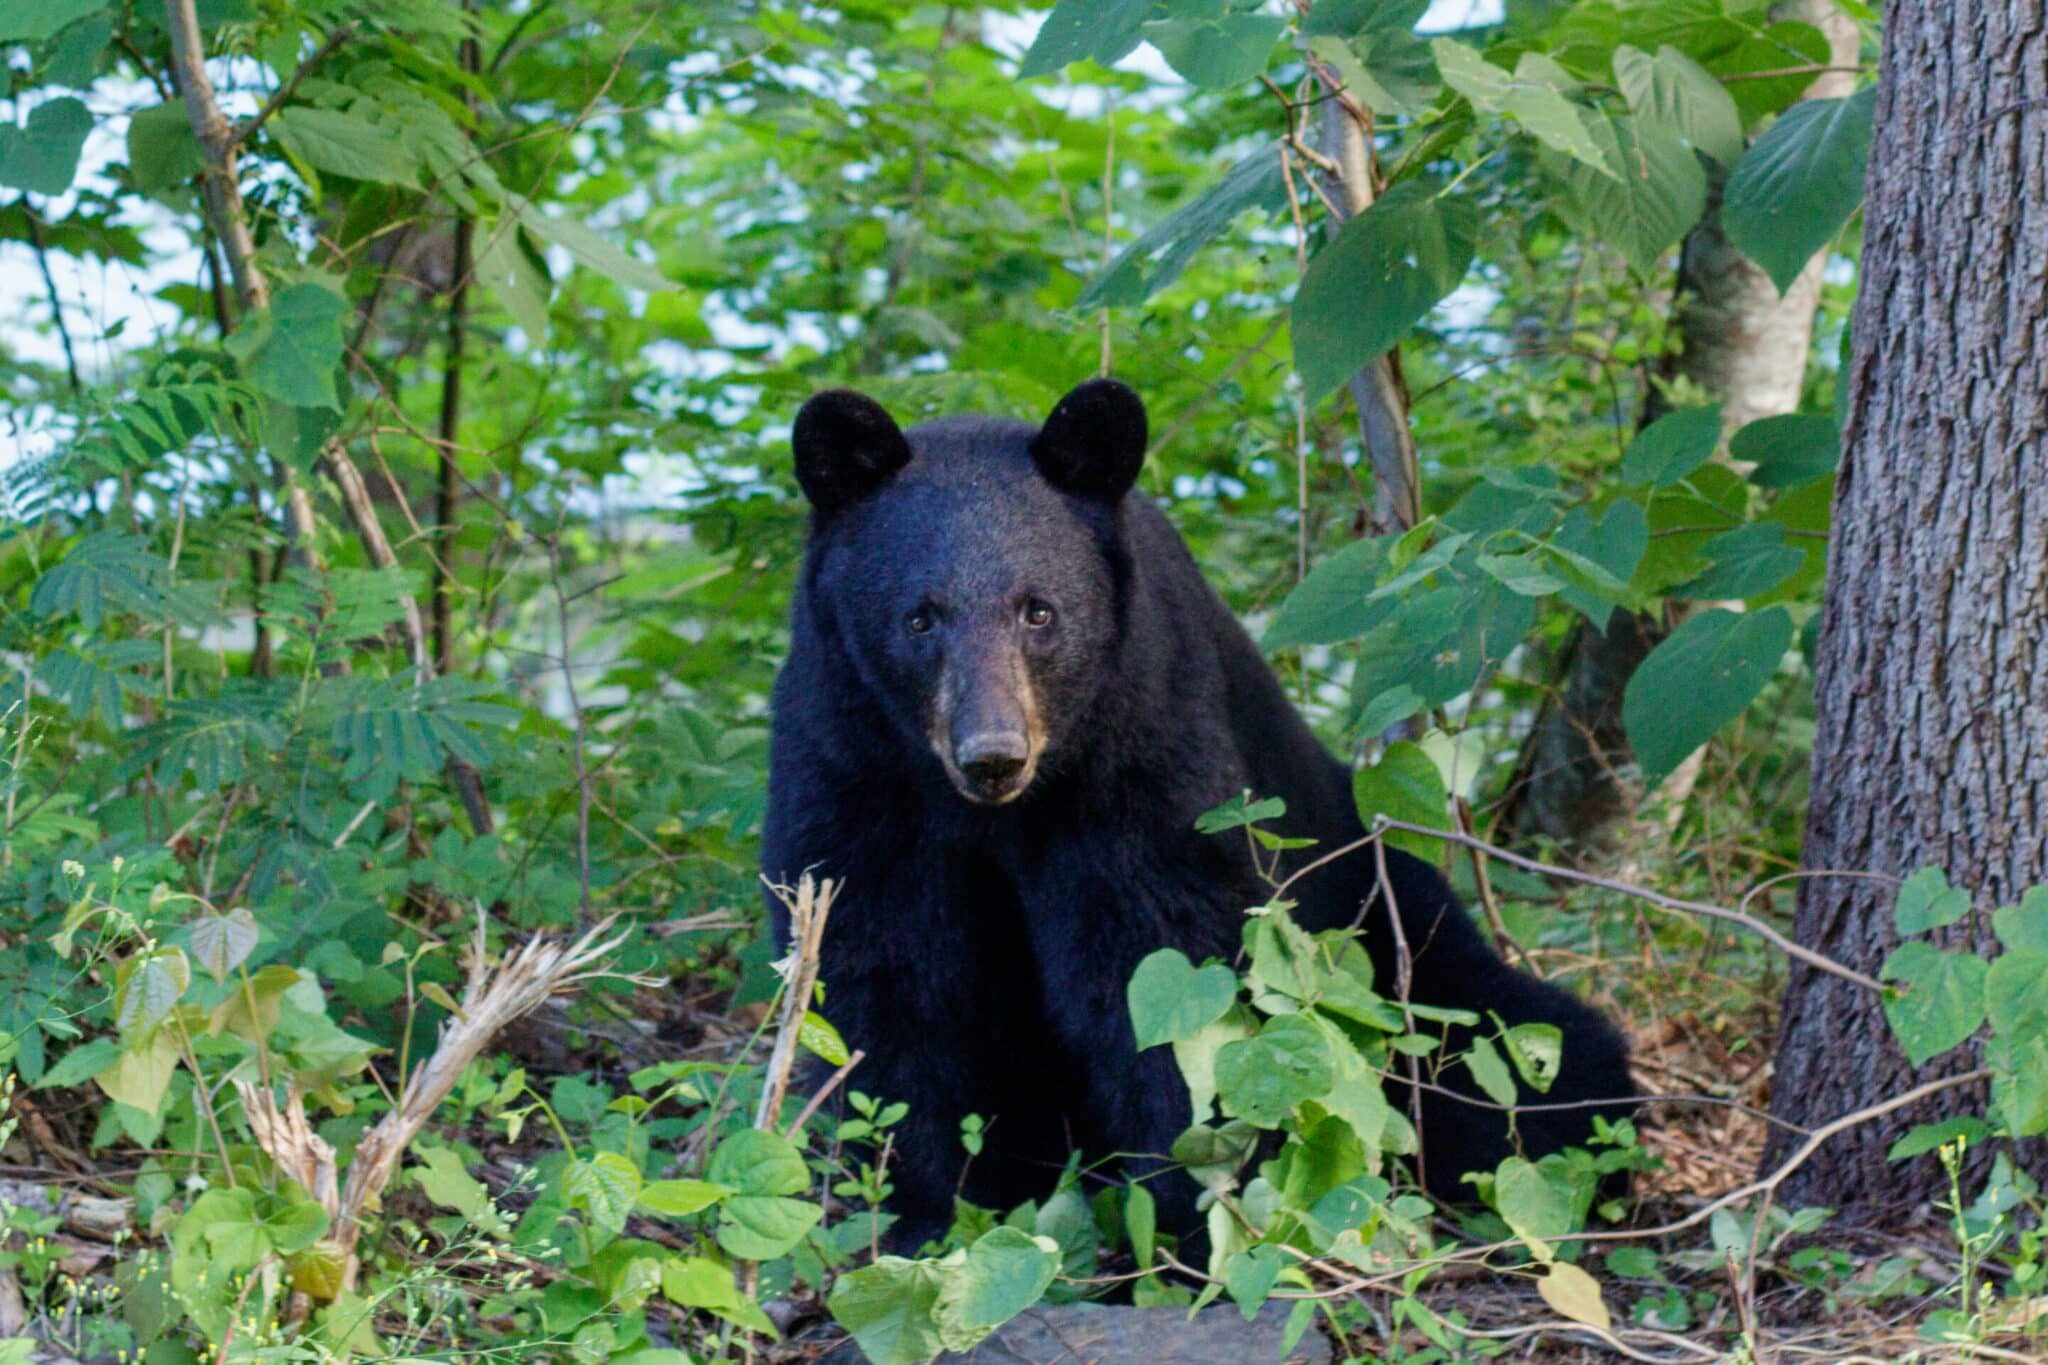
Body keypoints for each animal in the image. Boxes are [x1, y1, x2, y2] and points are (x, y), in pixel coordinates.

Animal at [761, 376, 1638, 1252]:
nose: (993, 753)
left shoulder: (1142, 742)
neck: (1001, 812)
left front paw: (1191, 1211)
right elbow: (888, 973)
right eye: (919, 617)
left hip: (1395, 930)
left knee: (1519, 1050)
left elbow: (1163, 960)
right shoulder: (854, 768)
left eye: (1039, 611)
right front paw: (925, 1211)